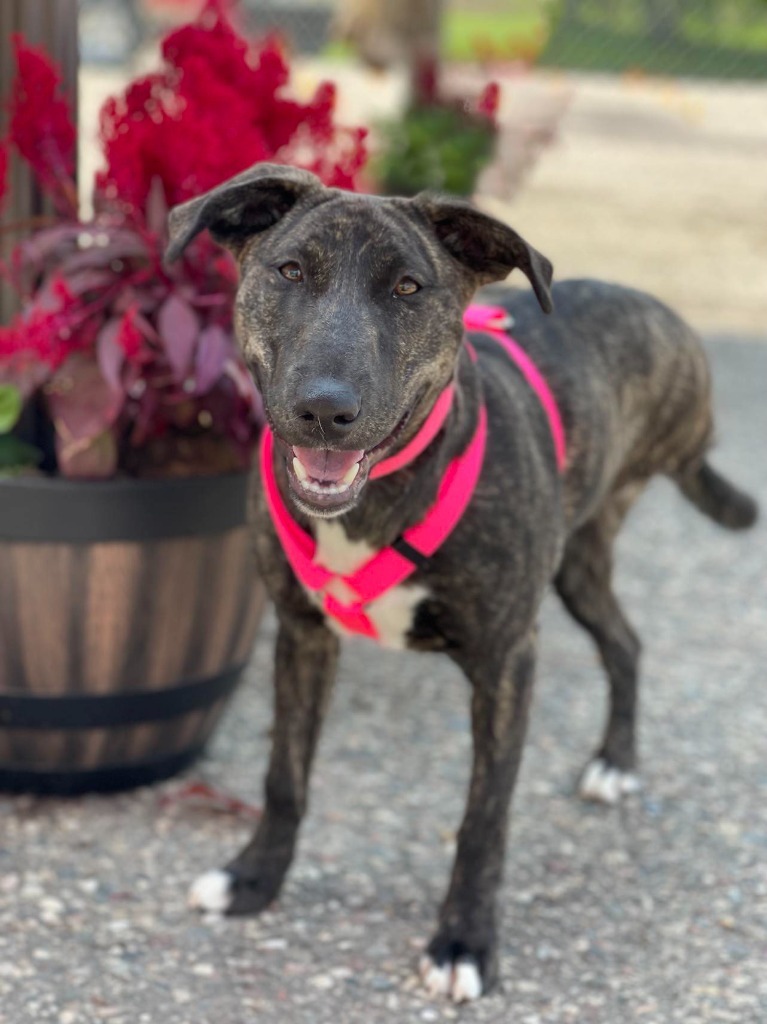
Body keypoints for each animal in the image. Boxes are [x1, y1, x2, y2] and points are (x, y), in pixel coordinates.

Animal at [164, 163, 757, 1003]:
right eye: (290, 272)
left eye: (409, 287)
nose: (323, 409)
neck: (379, 497)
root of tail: (657, 309)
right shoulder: (301, 636)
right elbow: (284, 776)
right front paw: (254, 881)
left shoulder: (507, 660)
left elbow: (483, 817)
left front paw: (463, 942)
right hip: (576, 564)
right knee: (625, 639)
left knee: (623, 642)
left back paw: (615, 764)